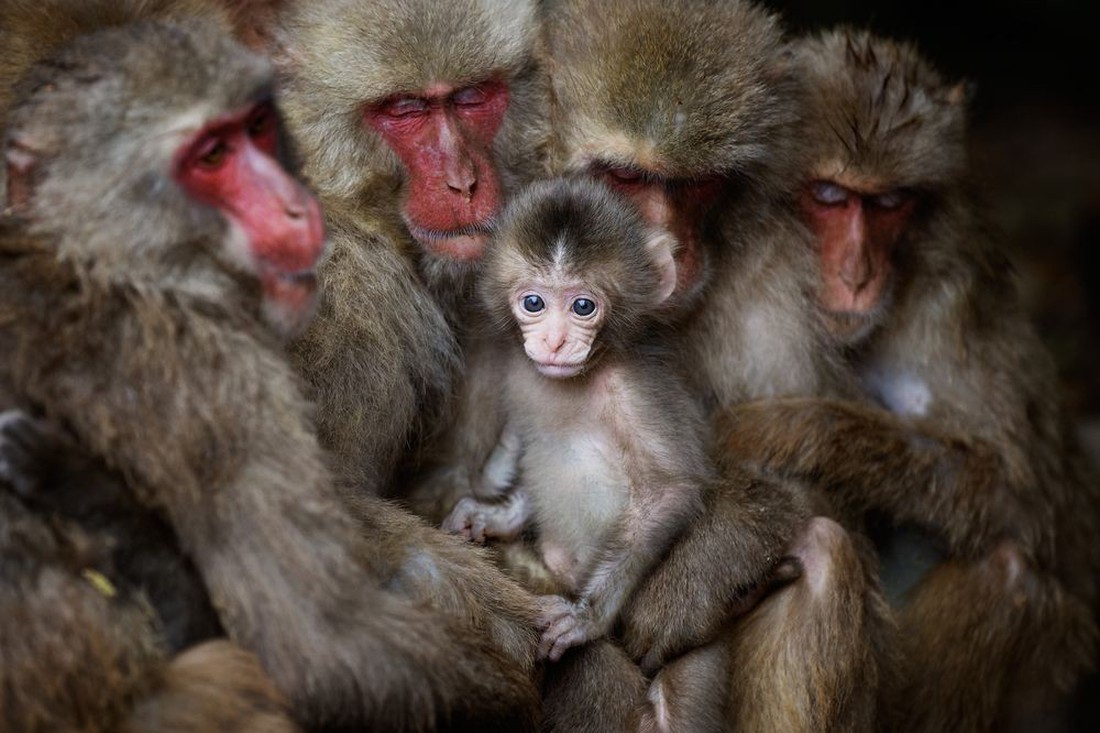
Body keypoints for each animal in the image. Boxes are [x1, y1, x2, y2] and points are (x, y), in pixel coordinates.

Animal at [442, 176, 708, 655]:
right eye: (533, 303)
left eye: (583, 307)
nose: (554, 341)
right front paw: (495, 517)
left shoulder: (634, 389)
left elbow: (668, 492)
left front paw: (587, 617)